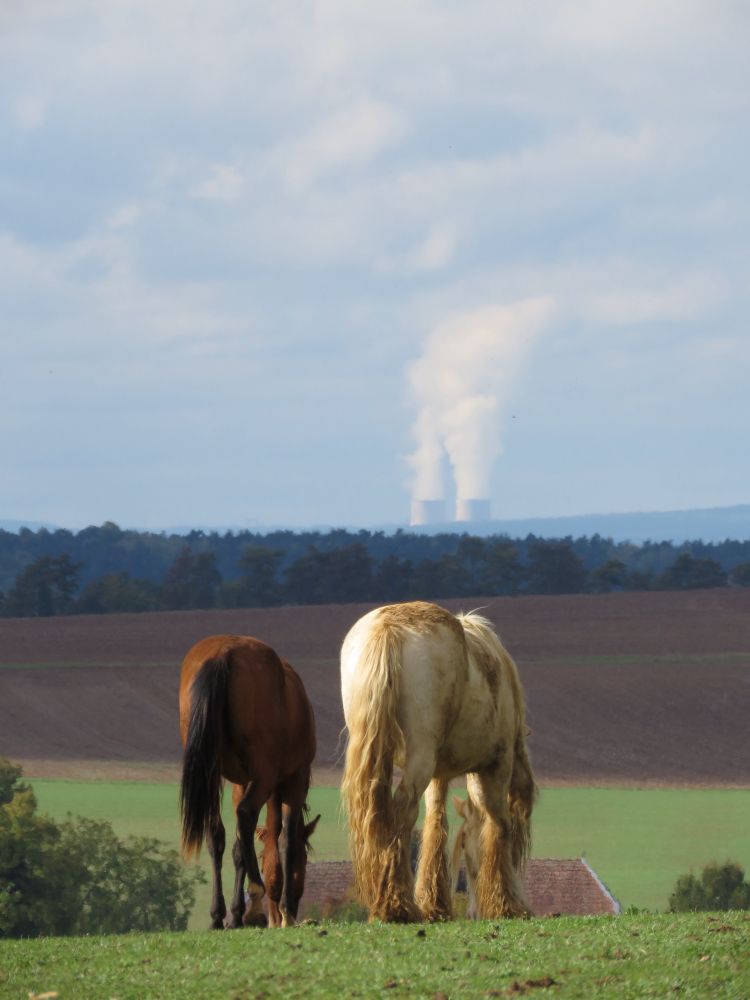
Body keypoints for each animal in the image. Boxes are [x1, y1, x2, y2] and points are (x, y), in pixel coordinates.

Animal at [179, 634, 318, 929]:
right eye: (305, 859)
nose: (298, 900)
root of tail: (223, 652)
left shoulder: (241, 783)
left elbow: (239, 847)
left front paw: (234, 915)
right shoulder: (293, 783)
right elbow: (285, 839)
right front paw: (284, 908)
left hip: (211, 773)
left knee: (216, 832)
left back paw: (218, 915)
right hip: (265, 775)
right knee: (246, 814)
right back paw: (255, 897)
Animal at [340, 600, 536, 923]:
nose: (473, 911)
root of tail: (388, 629)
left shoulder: (439, 773)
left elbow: (435, 824)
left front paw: (435, 904)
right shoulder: (496, 766)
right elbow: (498, 827)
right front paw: (506, 904)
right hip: (422, 758)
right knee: (402, 812)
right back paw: (397, 906)